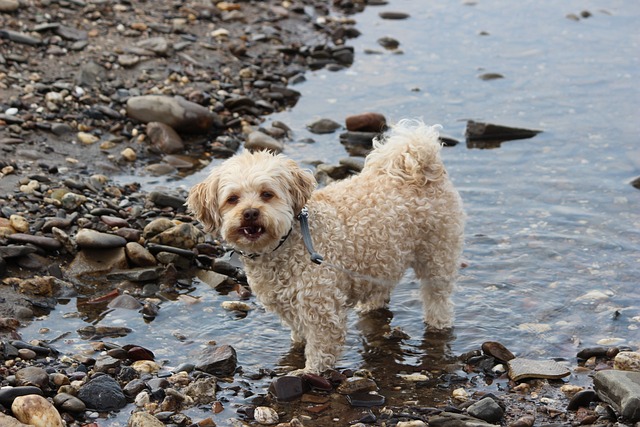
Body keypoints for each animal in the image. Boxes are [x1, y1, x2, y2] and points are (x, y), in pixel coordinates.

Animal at [188, 120, 462, 374]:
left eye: (267, 194)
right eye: (232, 199)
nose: (250, 213)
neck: (287, 242)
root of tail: (419, 168)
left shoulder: (320, 308)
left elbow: (320, 346)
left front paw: (310, 373)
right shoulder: (290, 304)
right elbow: (299, 331)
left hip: (437, 254)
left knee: (437, 295)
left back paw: (438, 322)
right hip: (383, 257)